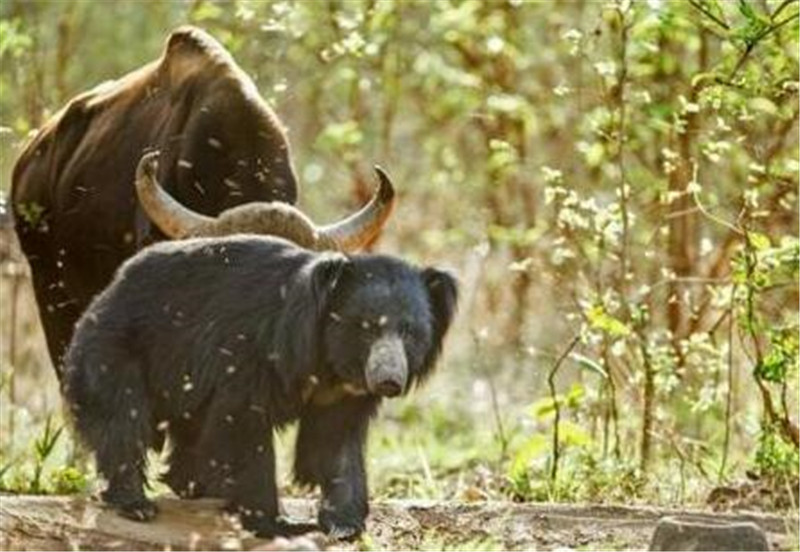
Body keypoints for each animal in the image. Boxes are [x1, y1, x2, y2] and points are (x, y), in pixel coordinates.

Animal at [61, 234, 456, 540]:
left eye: (409, 331)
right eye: (367, 327)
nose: (389, 380)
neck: (328, 360)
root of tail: (102, 297)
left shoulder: (343, 393)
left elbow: (336, 443)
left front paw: (344, 523)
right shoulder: (253, 351)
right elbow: (243, 428)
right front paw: (277, 523)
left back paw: (188, 485)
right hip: (117, 349)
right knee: (121, 417)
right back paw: (136, 503)